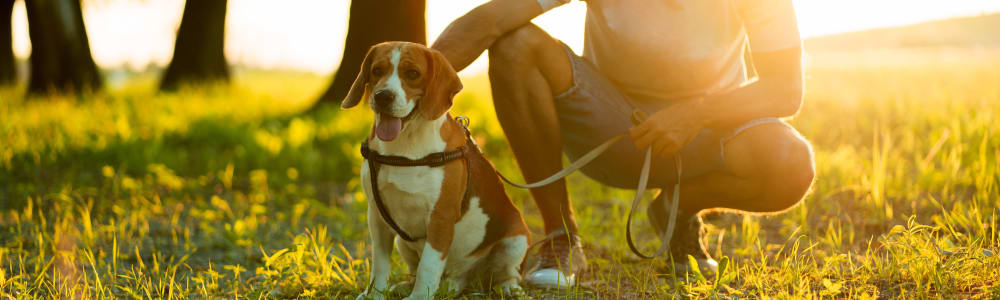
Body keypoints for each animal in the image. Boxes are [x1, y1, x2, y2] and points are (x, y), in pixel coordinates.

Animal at [344, 41, 532, 298]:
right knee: (424, 272)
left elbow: (428, 265)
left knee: (506, 274)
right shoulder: (377, 215)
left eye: (412, 74)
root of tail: (468, 277)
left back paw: (508, 288)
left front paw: (419, 297)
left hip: (515, 241)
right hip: (402, 242)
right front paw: (375, 293)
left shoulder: (440, 219)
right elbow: (380, 263)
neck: (404, 147)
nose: (382, 97)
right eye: (376, 71)